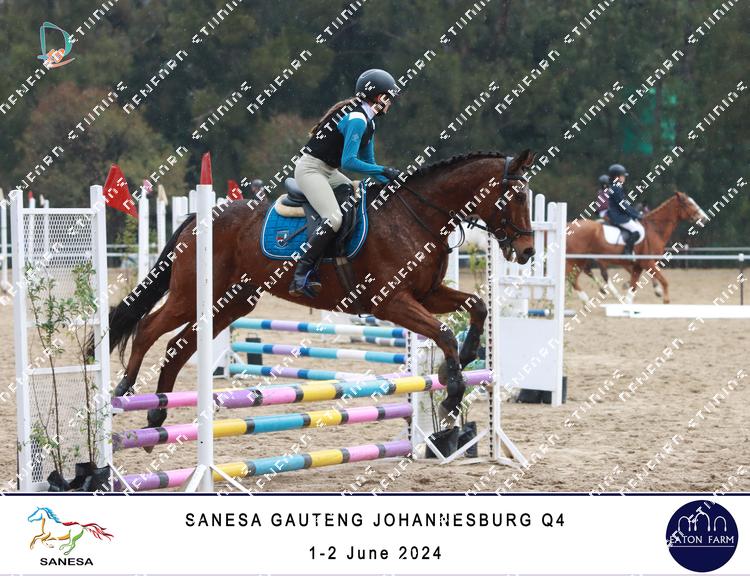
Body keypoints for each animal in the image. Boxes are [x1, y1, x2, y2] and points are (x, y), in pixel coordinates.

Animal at [107, 150, 537, 432]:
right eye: (516, 196)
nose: (528, 251)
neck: (417, 216)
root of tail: (199, 218)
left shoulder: (427, 294)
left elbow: (477, 306)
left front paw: (463, 359)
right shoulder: (392, 302)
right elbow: (445, 331)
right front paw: (451, 395)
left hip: (229, 305)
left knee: (178, 346)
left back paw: (158, 413)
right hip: (190, 296)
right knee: (148, 328)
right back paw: (125, 389)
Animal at [566, 191, 708, 304]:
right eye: (689, 204)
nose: (704, 218)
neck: (654, 229)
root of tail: (570, 226)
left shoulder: (638, 265)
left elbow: (634, 285)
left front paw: (628, 300)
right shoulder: (648, 262)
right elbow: (663, 280)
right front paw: (664, 298)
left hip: (582, 259)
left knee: (579, 275)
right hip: (578, 259)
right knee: (574, 276)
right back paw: (587, 299)